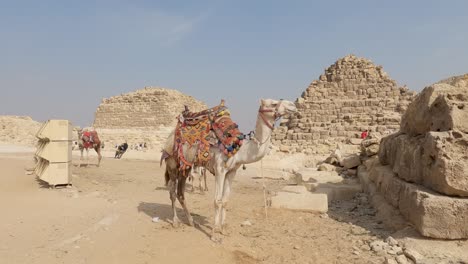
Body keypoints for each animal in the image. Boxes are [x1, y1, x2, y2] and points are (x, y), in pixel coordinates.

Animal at [161, 99, 296, 241]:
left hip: (185, 166)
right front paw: (214, 234)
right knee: (172, 192)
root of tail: (169, 137)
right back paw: (175, 222)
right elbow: (217, 201)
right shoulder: (220, 169)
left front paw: (223, 230)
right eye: (273, 104)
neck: (239, 149)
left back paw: (192, 221)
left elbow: (225, 200)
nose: (292, 105)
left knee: (181, 192)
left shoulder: (232, 172)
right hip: (172, 163)